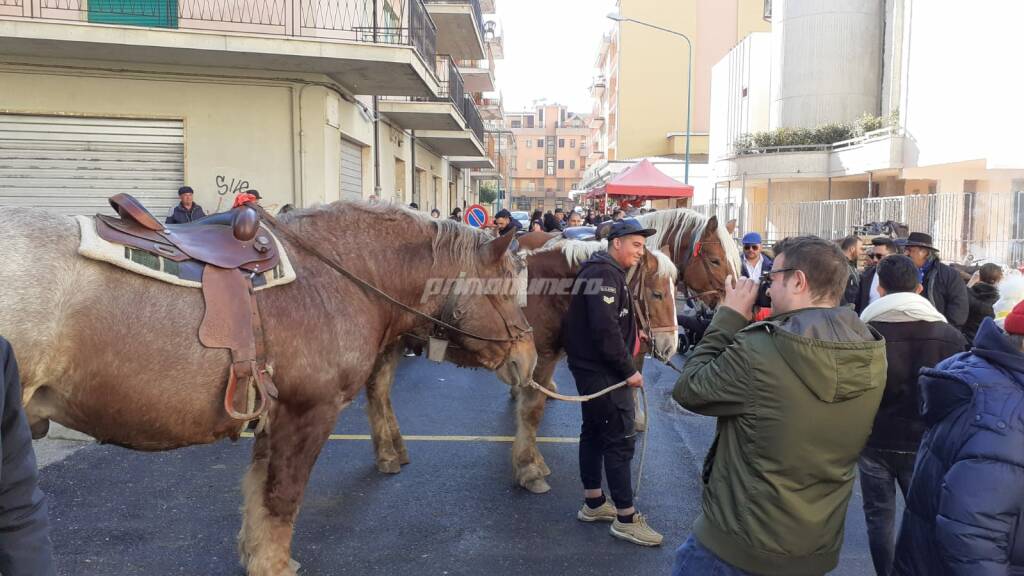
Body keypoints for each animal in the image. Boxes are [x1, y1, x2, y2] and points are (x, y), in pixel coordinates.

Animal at [0, 201, 540, 573]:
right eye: (504, 290)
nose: (528, 360)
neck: (331, 279)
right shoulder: (307, 414)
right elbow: (283, 498)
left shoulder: (270, 418)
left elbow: (260, 499)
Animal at [362, 236, 679, 487]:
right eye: (657, 294)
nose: (671, 345)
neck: (550, 294)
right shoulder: (537, 361)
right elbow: (531, 411)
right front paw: (529, 468)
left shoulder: (542, 363)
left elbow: (533, 410)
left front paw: (533, 461)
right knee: (377, 390)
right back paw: (387, 453)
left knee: (382, 391)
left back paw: (396, 447)